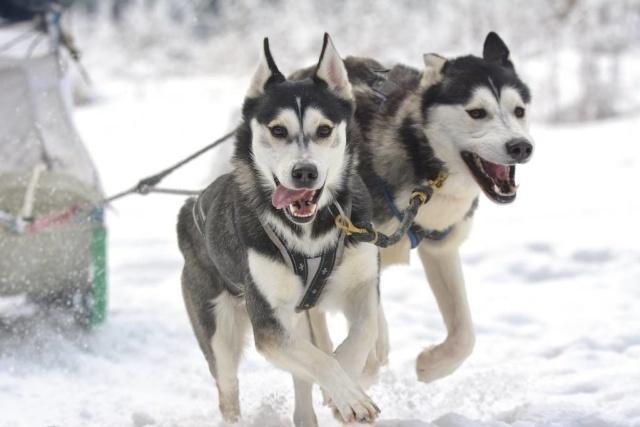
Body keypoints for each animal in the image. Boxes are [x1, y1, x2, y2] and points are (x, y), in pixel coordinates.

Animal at [176, 34, 380, 427]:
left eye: (324, 130)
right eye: (278, 130)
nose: (305, 172)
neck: (309, 233)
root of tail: (189, 210)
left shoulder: (363, 285)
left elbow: (361, 335)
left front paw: (345, 390)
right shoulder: (269, 324)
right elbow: (321, 360)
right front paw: (347, 395)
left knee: (302, 378)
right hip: (219, 334)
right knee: (229, 391)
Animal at [296, 30, 536, 384]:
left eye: (518, 110)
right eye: (477, 112)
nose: (521, 147)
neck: (424, 167)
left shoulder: (440, 248)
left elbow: (465, 335)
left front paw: (432, 364)